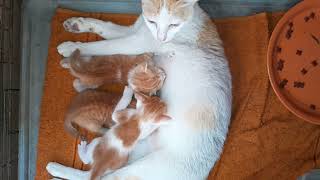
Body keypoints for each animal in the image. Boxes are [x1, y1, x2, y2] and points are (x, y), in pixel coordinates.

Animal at [46, 0, 231, 180]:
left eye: (173, 25)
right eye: (152, 21)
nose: (162, 38)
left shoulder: (136, 42)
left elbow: (103, 45)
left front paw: (71, 47)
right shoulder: (135, 31)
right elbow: (105, 26)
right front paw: (78, 24)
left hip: (134, 167)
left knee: (96, 176)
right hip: (126, 146)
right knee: (92, 172)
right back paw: (56, 169)